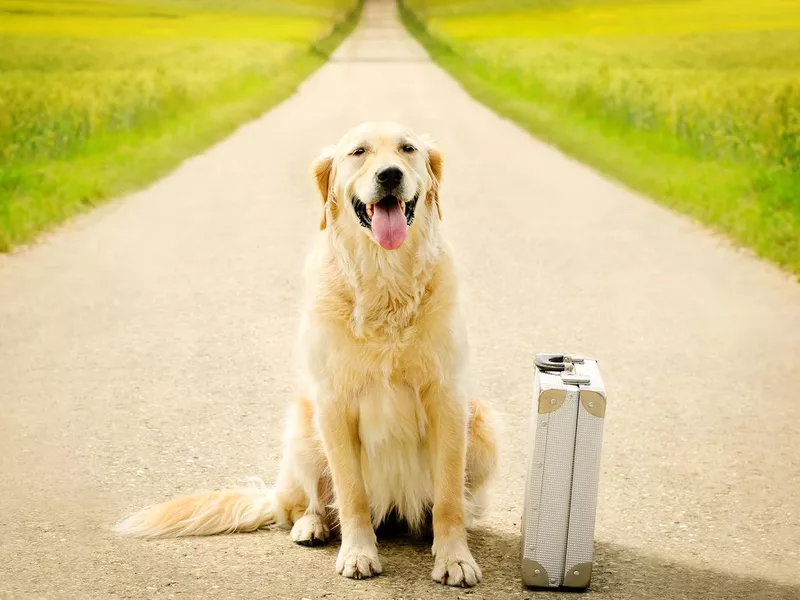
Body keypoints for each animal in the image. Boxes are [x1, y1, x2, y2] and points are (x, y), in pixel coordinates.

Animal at [115, 120, 496, 584]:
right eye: (358, 152)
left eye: (408, 149)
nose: (389, 175)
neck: (384, 281)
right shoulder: (333, 404)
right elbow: (351, 495)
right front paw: (357, 553)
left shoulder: (448, 400)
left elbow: (448, 497)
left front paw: (455, 557)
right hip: (301, 425)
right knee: (304, 505)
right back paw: (311, 526)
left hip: (484, 427)